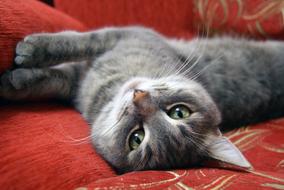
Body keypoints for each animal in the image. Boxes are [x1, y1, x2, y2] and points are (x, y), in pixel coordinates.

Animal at [0, 26, 284, 174]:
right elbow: (76, 45)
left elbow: (61, 65)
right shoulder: (128, 35)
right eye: (179, 112)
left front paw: (16, 71)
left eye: (136, 138)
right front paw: (23, 68)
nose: (139, 97)